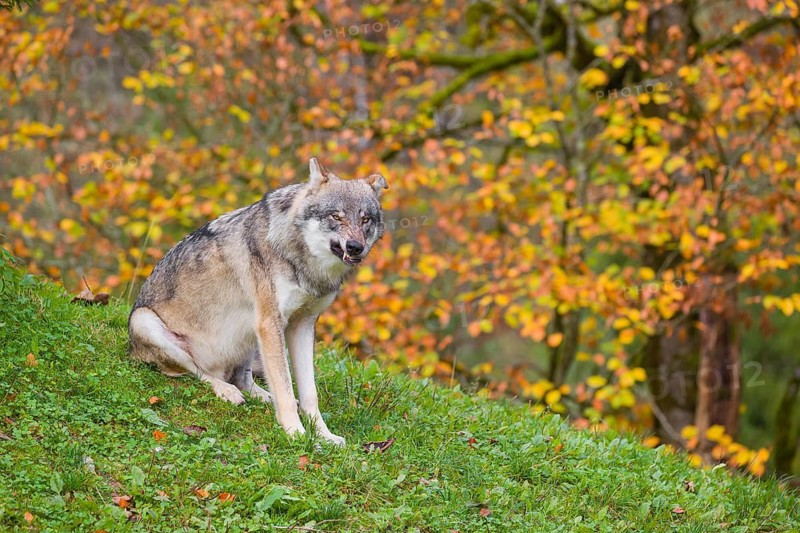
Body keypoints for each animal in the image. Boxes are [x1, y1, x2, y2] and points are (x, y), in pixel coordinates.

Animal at [128, 158, 388, 445]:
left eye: (365, 219)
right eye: (336, 216)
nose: (355, 247)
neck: (304, 261)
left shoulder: (302, 325)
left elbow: (309, 392)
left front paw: (323, 436)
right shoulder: (271, 322)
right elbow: (285, 387)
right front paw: (296, 433)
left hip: (250, 335)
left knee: (243, 378)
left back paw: (260, 395)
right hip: (145, 321)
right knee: (199, 372)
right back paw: (226, 391)